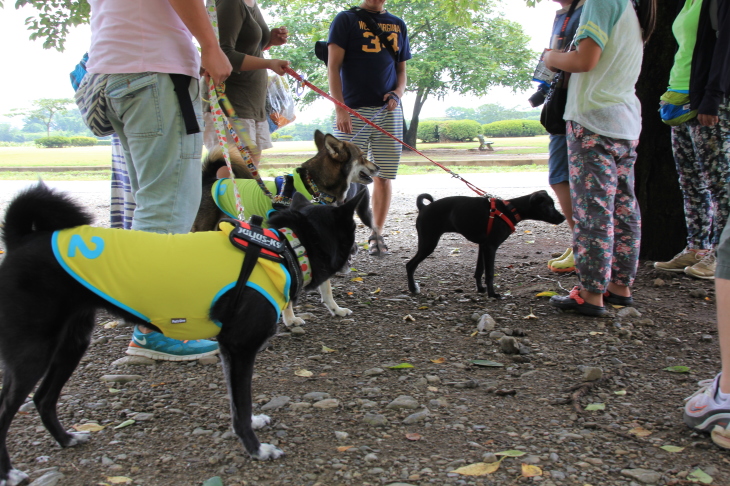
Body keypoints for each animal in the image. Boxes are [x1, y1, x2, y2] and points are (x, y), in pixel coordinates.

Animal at [404, 190, 564, 296]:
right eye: (550, 206)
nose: (563, 217)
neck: (509, 209)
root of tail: (424, 207)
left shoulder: (483, 246)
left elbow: (479, 270)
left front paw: (481, 289)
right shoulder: (491, 247)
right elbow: (490, 272)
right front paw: (492, 294)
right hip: (428, 243)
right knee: (410, 265)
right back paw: (413, 288)